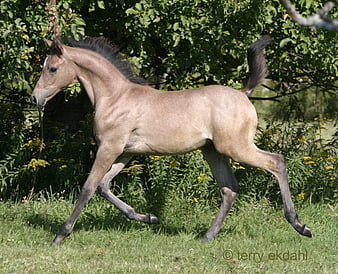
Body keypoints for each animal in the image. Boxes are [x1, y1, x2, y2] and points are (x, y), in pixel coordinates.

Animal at [31, 35, 312, 244]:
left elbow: (89, 187)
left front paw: (61, 235)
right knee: (229, 188)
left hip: (236, 147)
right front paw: (149, 218)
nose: (35, 98)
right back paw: (207, 237)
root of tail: (244, 93)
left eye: (52, 68)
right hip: (214, 151)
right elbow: (104, 186)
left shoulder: (110, 147)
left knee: (277, 162)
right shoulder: (125, 151)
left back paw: (300, 225)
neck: (116, 97)